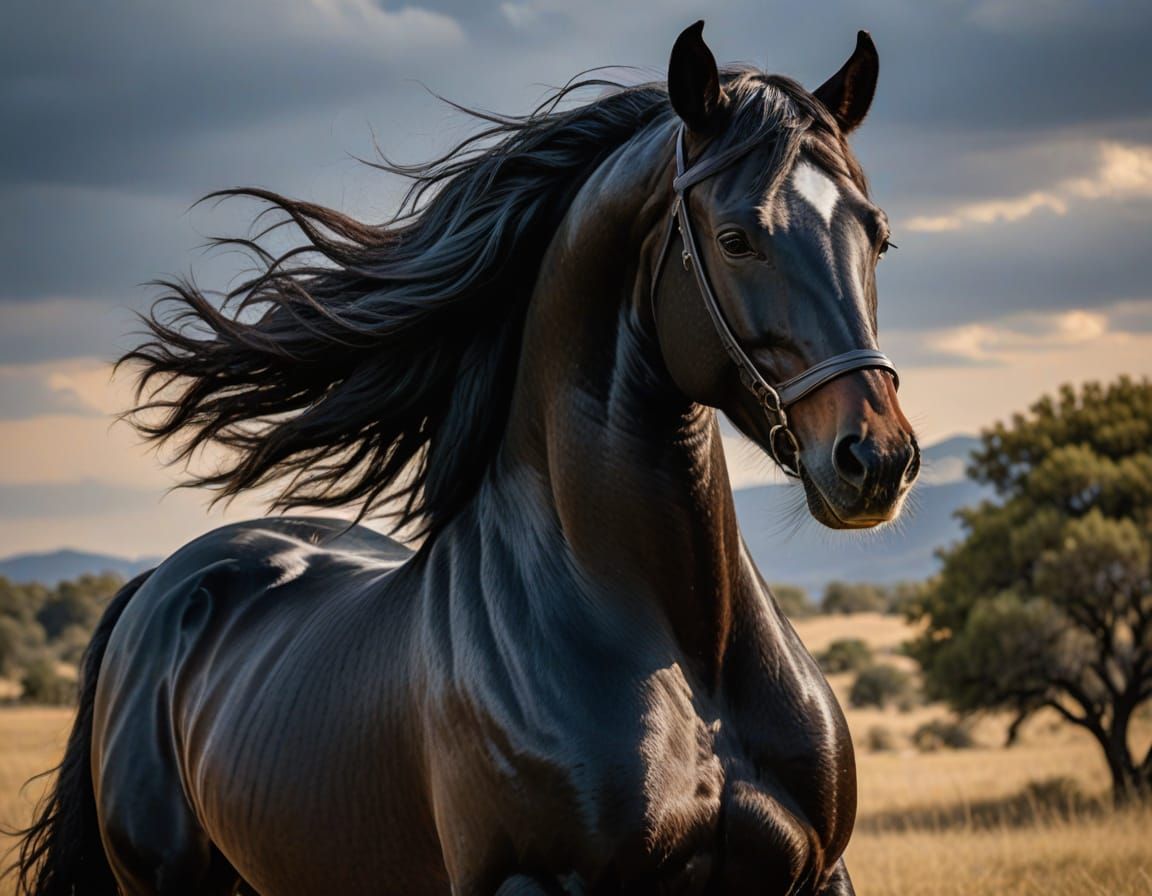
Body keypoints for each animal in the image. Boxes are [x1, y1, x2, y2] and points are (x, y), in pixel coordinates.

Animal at [12, 21, 918, 895]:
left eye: (877, 237)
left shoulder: (817, 872)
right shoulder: (529, 880)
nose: (876, 460)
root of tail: (159, 588)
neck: (691, 658)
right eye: (736, 239)